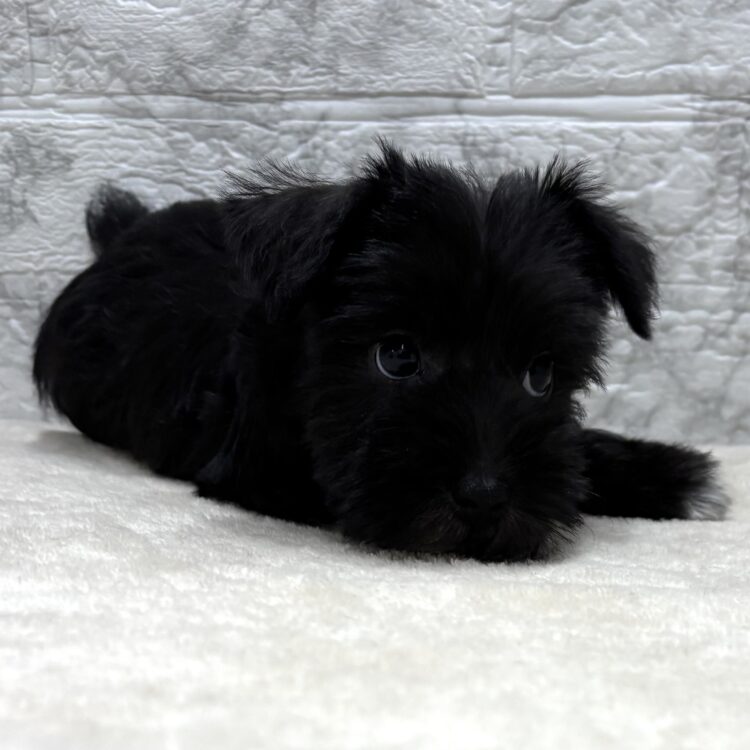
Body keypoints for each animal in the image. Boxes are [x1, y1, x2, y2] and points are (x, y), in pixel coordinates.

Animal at [33, 142, 729, 561]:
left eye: (541, 375)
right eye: (396, 356)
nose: (484, 496)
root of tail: (121, 232)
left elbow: (577, 452)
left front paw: (676, 474)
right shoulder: (262, 471)